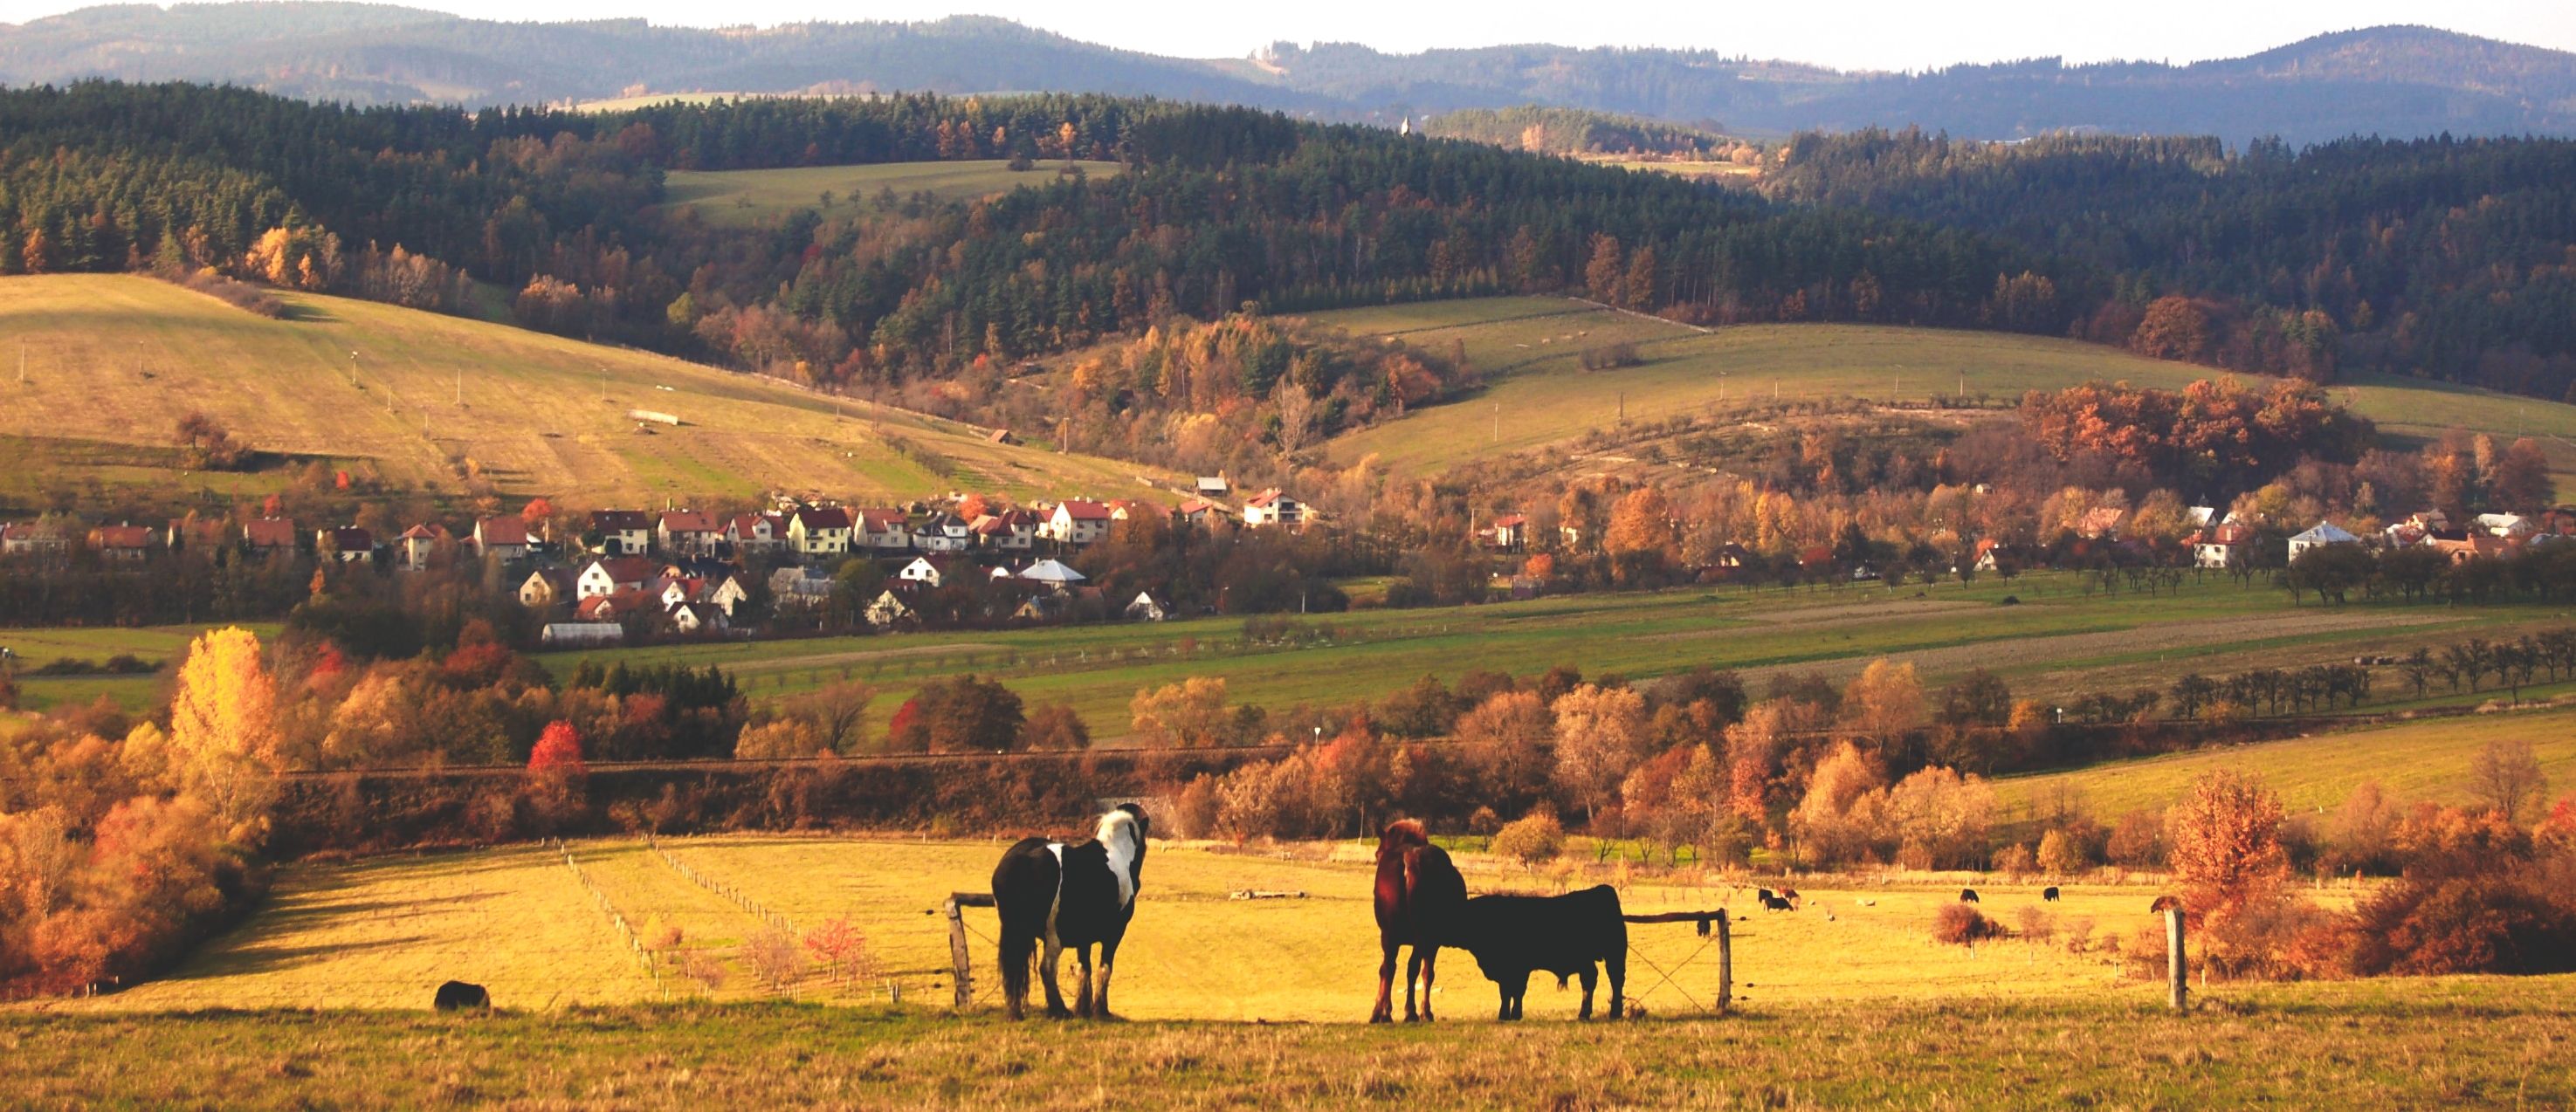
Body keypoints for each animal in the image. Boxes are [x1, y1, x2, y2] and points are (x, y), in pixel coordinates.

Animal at [983, 803, 1148, 1019]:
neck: (1118, 853)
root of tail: (1020, 858)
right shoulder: (1114, 933)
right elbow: (1104, 969)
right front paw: (1100, 1010)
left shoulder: (1084, 937)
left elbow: (1083, 969)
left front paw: (1083, 1009)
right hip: (1054, 937)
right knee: (1047, 969)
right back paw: (1059, 1010)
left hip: (1016, 930)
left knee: (1012, 968)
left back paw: (1016, 1011)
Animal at [1370, 818, 1473, 1024]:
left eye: (1378, 853)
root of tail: (1410, 858)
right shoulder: (1433, 942)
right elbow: (1427, 973)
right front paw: (1426, 1011)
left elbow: (1387, 969)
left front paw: (1382, 1008)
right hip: (1423, 937)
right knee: (1413, 969)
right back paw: (1411, 1012)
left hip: (1392, 935)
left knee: (1391, 968)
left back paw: (1390, 1013)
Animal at [1452, 880, 1628, 1019]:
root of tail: (1601, 890)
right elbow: (1508, 992)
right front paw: (1509, 1014)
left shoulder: (1517, 969)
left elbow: (1514, 990)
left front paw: (1510, 1015)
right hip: (1590, 959)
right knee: (1592, 980)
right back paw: (1588, 1013)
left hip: (1612, 954)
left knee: (1614, 979)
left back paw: (1610, 1013)